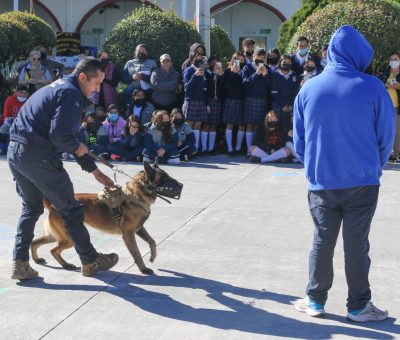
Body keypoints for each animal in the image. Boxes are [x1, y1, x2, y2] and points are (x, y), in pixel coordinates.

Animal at [30, 161, 183, 274]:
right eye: (164, 178)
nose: (181, 185)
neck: (137, 195)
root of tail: (52, 206)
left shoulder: (139, 228)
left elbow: (152, 242)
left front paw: (152, 257)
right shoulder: (129, 234)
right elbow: (137, 253)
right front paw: (143, 269)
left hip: (57, 236)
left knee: (35, 242)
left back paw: (38, 260)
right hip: (68, 239)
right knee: (53, 250)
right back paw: (66, 265)